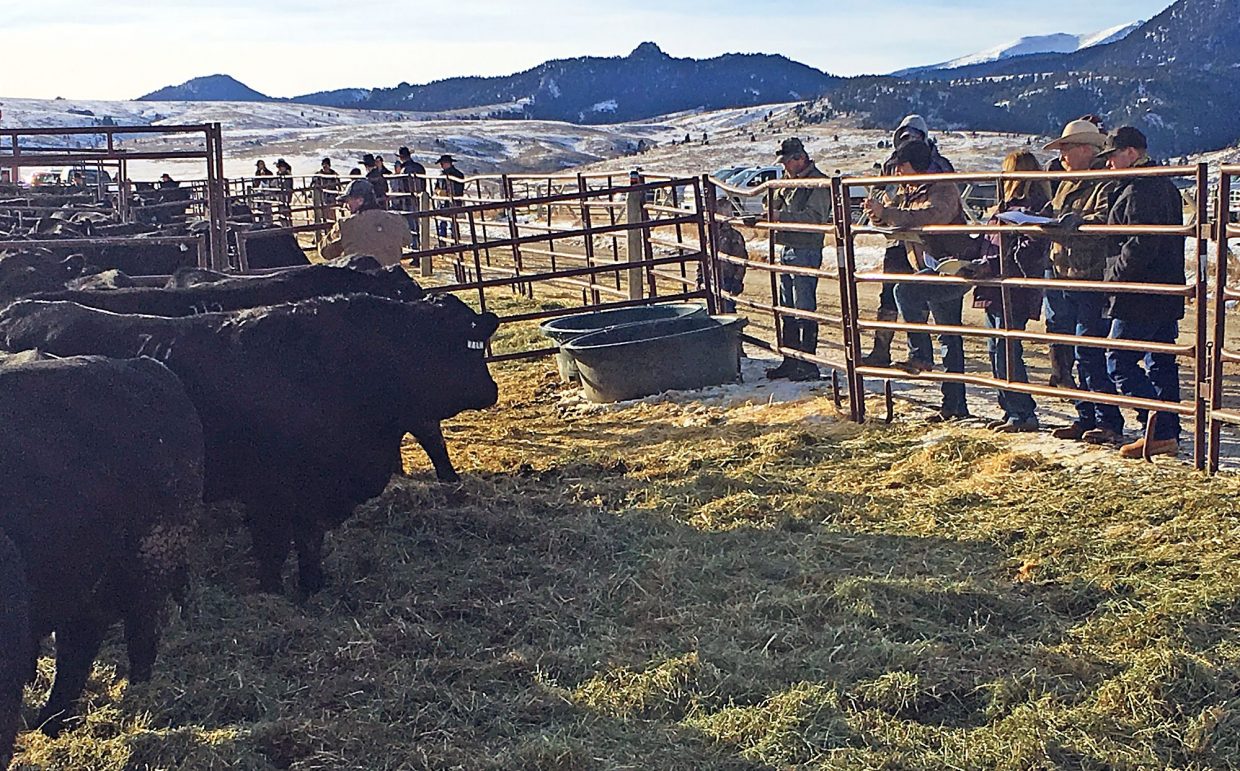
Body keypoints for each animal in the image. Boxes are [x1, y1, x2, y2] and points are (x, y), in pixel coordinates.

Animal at [0, 294, 500, 594]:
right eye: (460, 343)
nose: (490, 389)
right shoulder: (270, 491)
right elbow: (273, 545)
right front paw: (274, 591)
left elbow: (309, 540)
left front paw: (313, 585)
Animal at [0, 355, 204, 756]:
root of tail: (146, 367)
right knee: (78, 650)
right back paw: (52, 723)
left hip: (151, 565)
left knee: (138, 641)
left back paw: (137, 706)